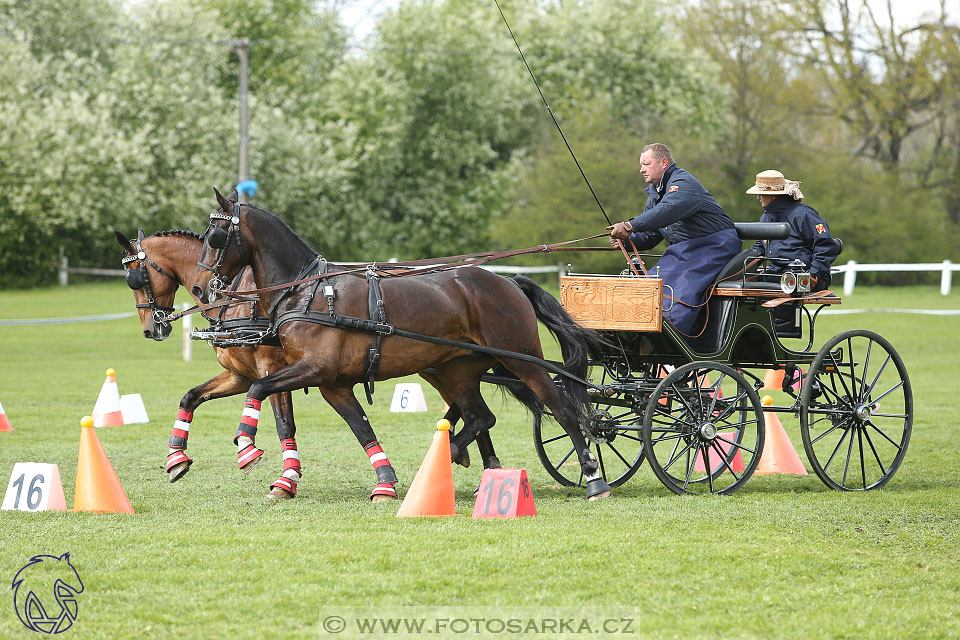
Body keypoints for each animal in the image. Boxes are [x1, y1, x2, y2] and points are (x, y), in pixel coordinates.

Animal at [192, 190, 612, 500]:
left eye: (215, 236)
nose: (200, 289)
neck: (305, 292)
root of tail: (508, 281)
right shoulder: (331, 382)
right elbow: (360, 426)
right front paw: (385, 482)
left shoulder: (314, 369)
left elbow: (259, 390)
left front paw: (247, 448)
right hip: (457, 370)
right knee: (480, 417)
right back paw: (463, 459)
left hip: (523, 360)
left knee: (563, 410)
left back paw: (594, 478)